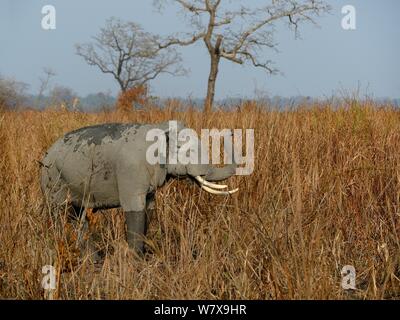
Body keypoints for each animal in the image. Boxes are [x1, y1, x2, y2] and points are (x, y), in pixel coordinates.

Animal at [41, 120, 238, 255]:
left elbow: (148, 208)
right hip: (53, 180)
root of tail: (45, 155)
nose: (230, 132)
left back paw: (93, 259)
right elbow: (134, 208)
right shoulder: (130, 171)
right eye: (183, 149)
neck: (160, 127)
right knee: (59, 213)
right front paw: (136, 261)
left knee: (78, 216)